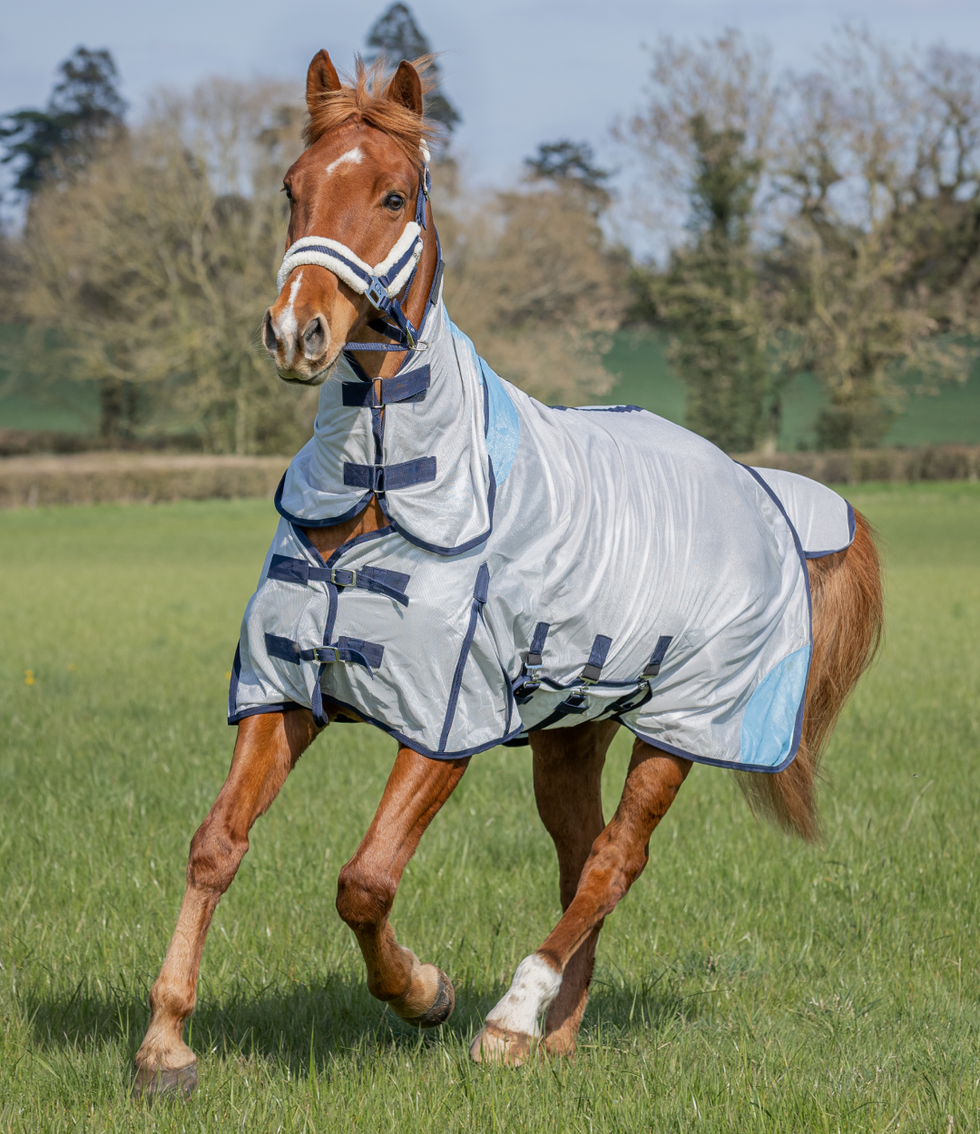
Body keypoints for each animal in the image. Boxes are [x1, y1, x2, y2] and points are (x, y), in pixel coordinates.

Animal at [132, 51, 883, 1099]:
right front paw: (165, 1042)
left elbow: (364, 881)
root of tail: (763, 489)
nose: (297, 333)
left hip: (684, 729)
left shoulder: (444, 723)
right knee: (584, 860)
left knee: (614, 862)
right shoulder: (285, 691)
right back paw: (555, 1035)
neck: (378, 488)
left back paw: (508, 1021)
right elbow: (214, 846)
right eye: (292, 188)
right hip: (571, 736)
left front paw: (426, 993)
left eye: (393, 193)